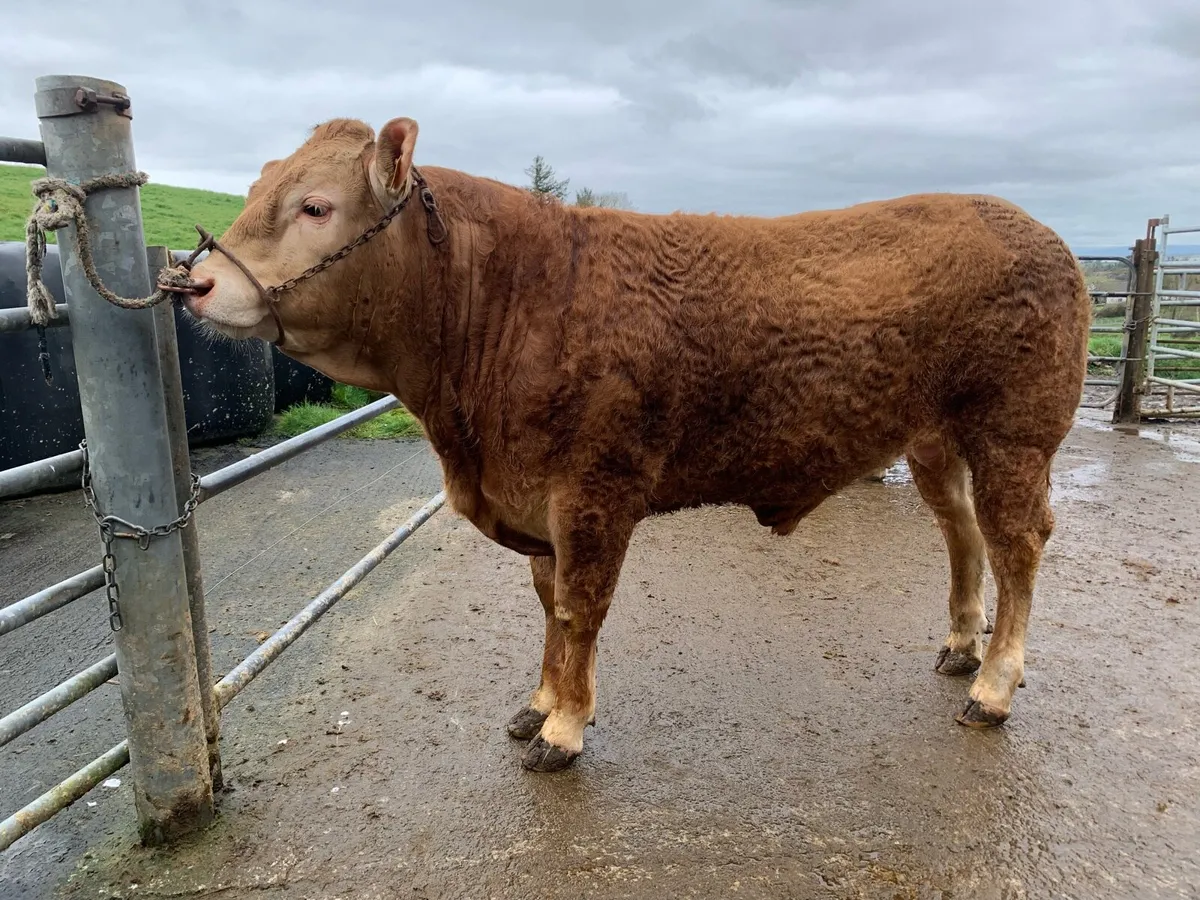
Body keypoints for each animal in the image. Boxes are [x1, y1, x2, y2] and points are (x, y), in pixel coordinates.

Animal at [169, 116, 1091, 773]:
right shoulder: (535, 498)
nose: (195, 282)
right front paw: (539, 703)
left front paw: (566, 728)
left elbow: (580, 608)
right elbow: (547, 604)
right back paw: (961, 646)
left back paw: (995, 683)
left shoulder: (594, 490)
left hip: (1015, 432)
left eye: (315, 206)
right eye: (258, 187)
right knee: (962, 532)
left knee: (1017, 543)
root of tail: (1031, 226)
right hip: (938, 439)